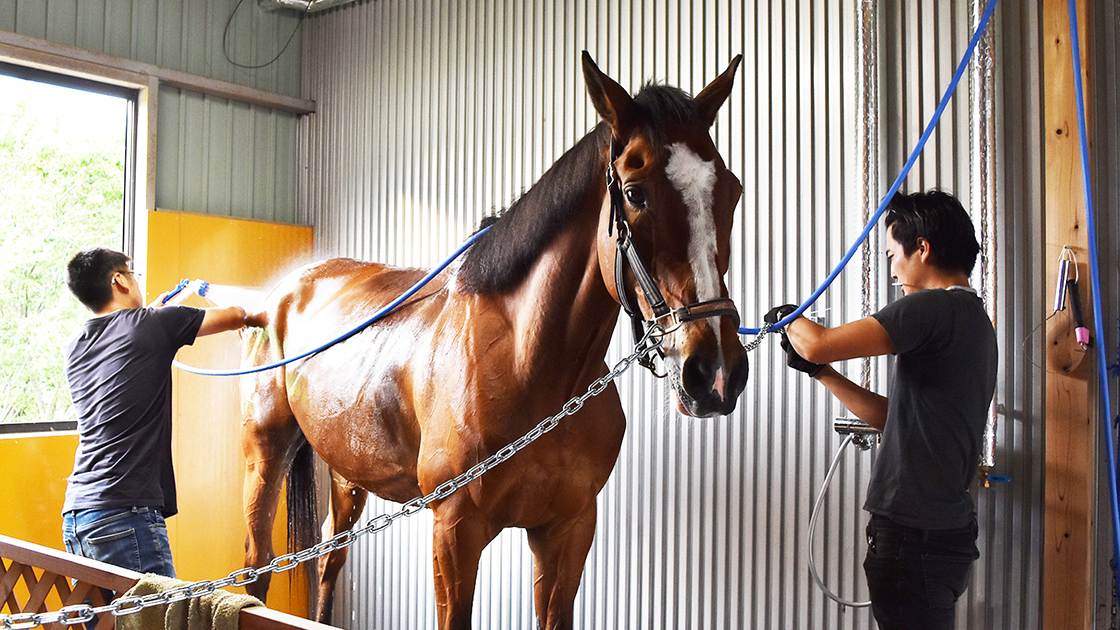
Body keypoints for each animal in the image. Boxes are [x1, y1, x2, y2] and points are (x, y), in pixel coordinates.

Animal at [238, 52, 748, 630]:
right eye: (635, 192)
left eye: (731, 190)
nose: (716, 371)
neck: (531, 369)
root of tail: (284, 292)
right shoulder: (455, 533)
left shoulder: (567, 530)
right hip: (265, 451)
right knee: (257, 564)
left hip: (348, 471)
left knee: (330, 556)